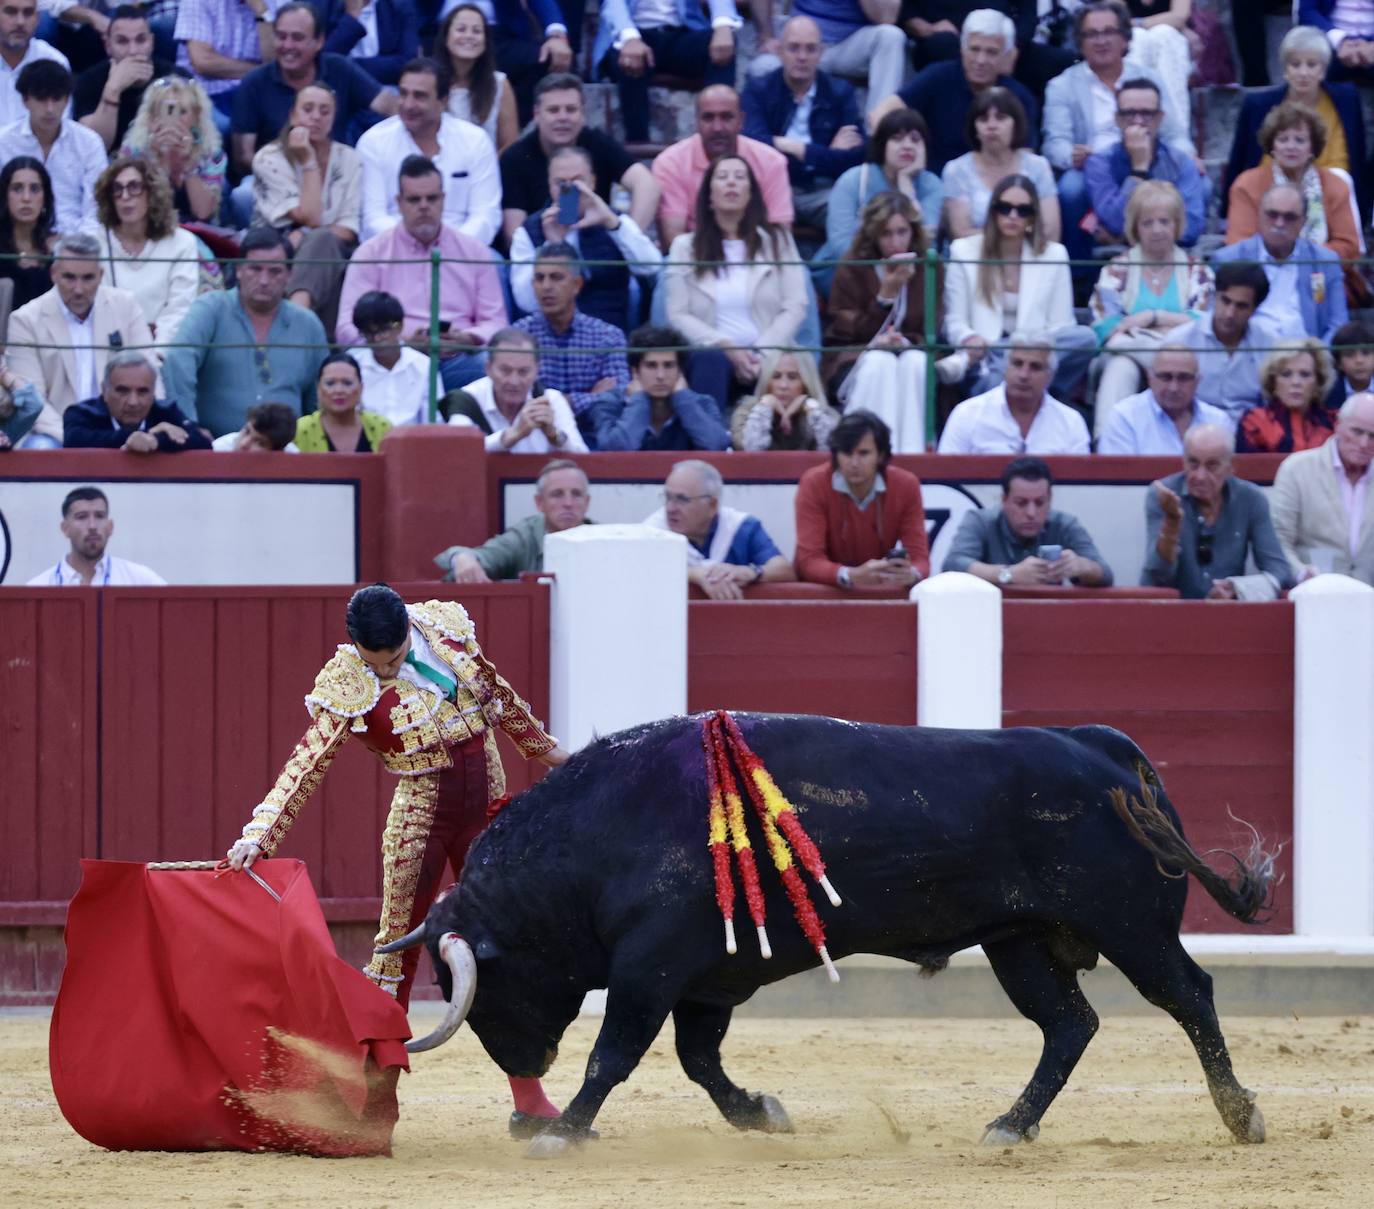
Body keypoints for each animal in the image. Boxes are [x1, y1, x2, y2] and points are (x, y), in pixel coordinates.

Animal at [381, 714, 1269, 1159]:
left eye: (486, 988)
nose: (525, 1070)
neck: (599, 834)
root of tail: (1106, 749)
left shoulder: (650, 968)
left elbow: (617, 1052)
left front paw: (563, 1129)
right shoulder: (709, 979)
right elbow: (700, 1060)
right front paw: (761, 1113)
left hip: (1130, 925)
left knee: (1189, 995)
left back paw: (1240, 1117)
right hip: (1019, 938)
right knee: (1069, 1024)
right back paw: (1009, 1125)